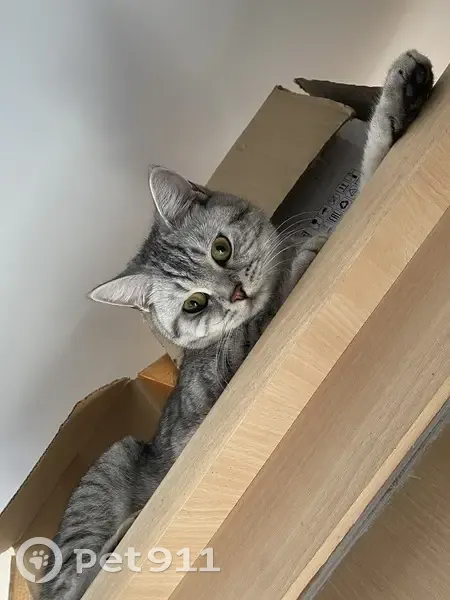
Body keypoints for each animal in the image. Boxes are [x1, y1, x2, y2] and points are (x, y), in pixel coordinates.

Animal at [40, 50, 433, 600]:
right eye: (193, 305)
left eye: (221, 248)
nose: (236, 294)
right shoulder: (222, 377)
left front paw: (403, 99)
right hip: (112, 465)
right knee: (82, 575)